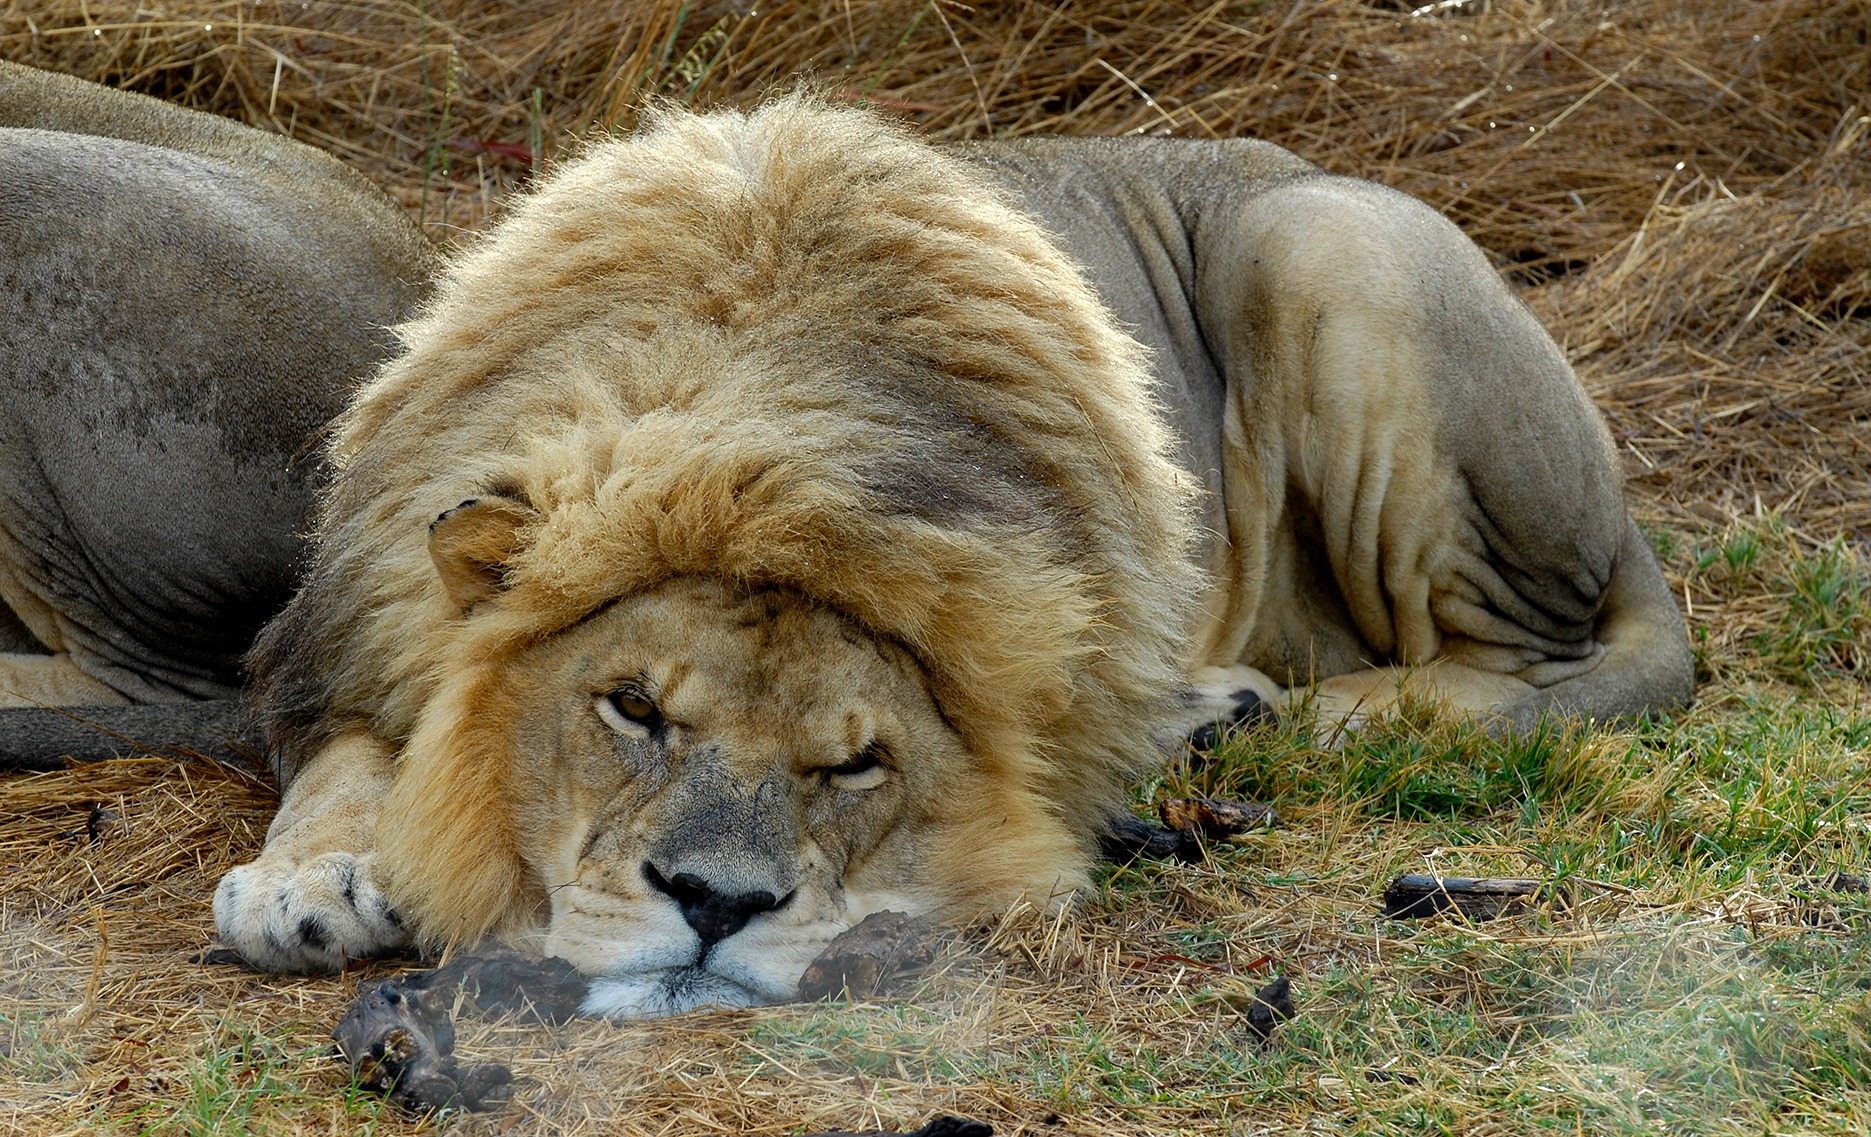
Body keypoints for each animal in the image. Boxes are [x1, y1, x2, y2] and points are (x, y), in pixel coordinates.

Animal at [204, 98, 1690, 1015]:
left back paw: (1294, 715)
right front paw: (306, 880)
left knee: (1524, 664)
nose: (714, 905)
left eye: (851, 760)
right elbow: (347, 760)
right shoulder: (351, 623)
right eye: (631, 708)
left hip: (1326, 245)